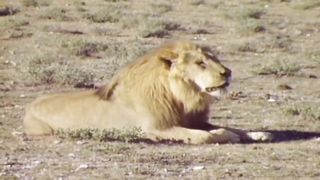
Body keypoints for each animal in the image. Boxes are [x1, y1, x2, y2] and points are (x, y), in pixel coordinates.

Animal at [23, 41, 272, 144]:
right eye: (200, 63)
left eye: (214, 59)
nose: (227, 72)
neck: (182, 97)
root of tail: (29, 106)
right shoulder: (157, 128)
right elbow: (207, 136)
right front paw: (228, 135)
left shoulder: (194, 120)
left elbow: (234, 127)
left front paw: (259, 134)